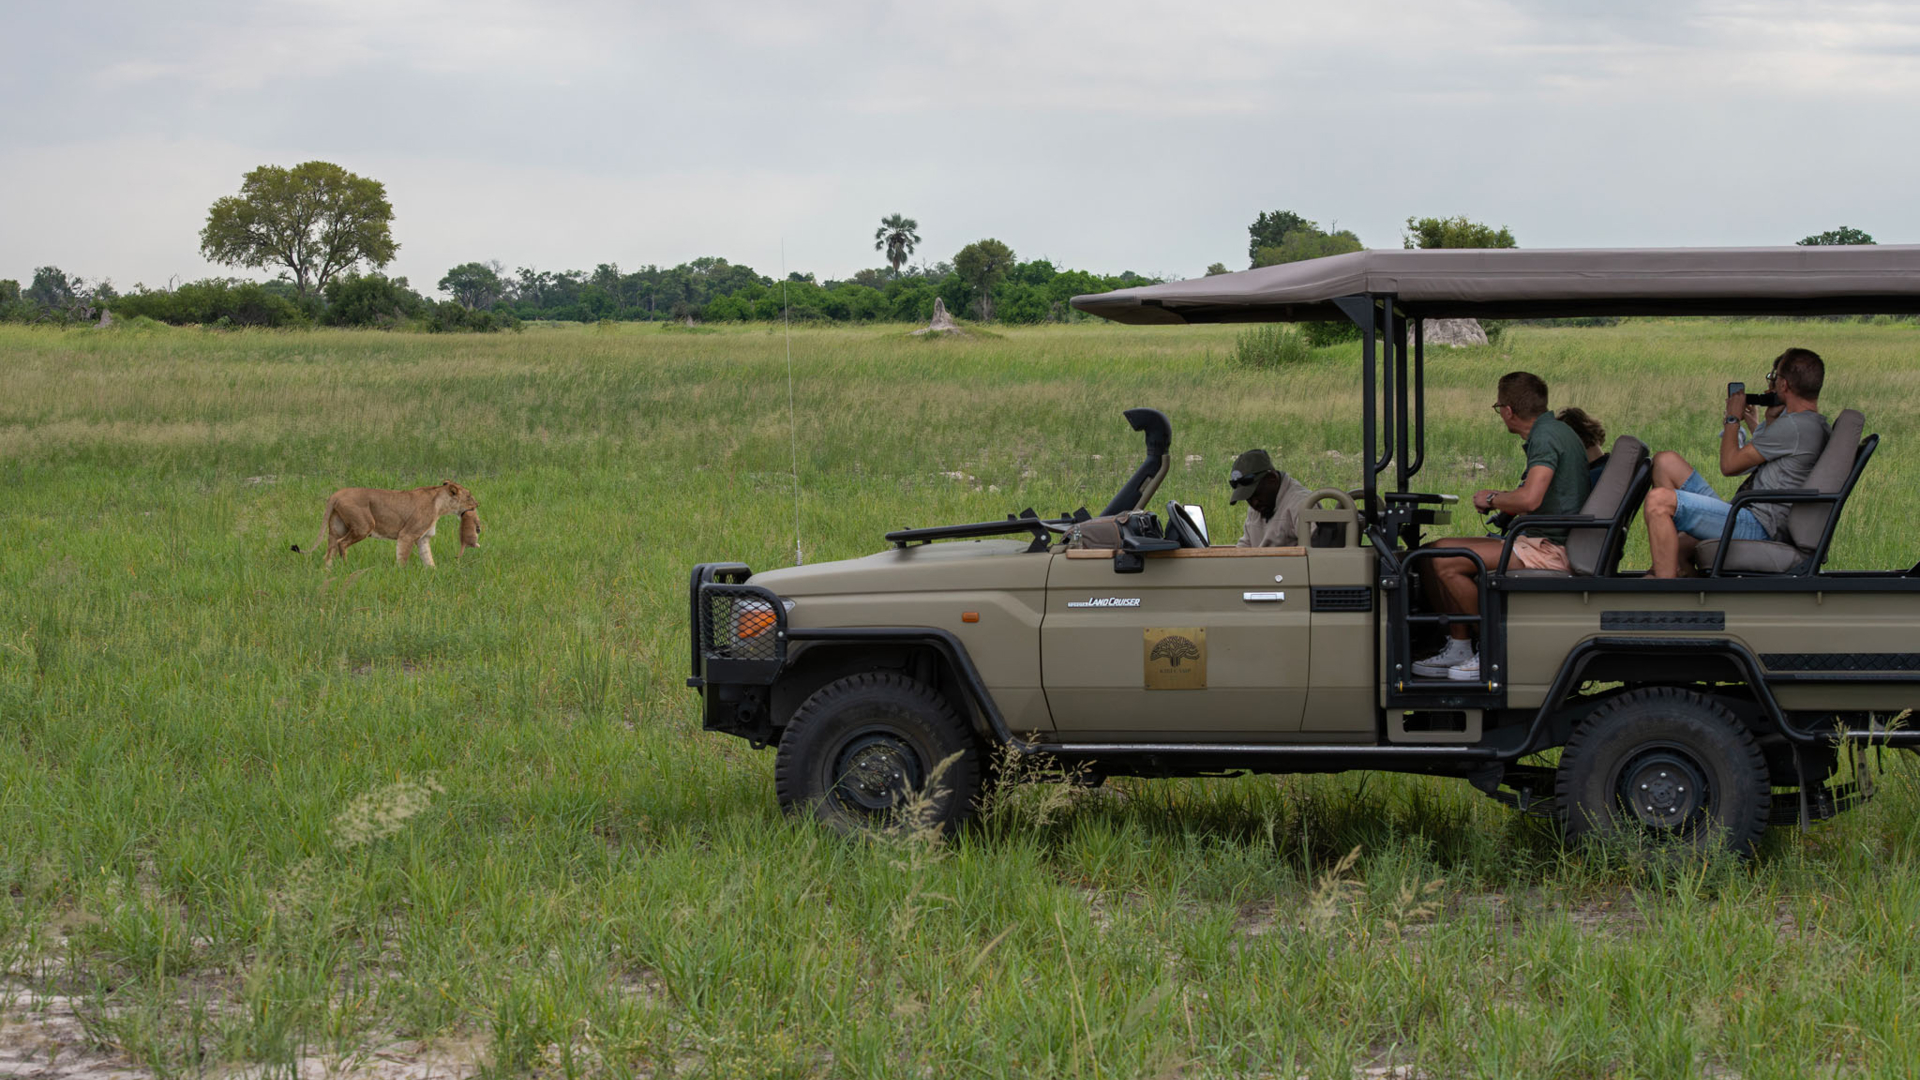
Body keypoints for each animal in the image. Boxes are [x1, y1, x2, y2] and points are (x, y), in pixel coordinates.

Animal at [293, 481, 480, 568]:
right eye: (469, 496)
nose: (477, 504)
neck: (440, 505)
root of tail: (337, 493)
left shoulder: (423, 538)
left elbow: (428, 558)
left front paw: (434, 572)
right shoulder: (407, 534)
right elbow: (402, 556)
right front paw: (401, 573)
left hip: (337, 527)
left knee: (329, 549)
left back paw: (329, 569)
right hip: (364, 525)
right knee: (342, 544)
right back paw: (346, 567)